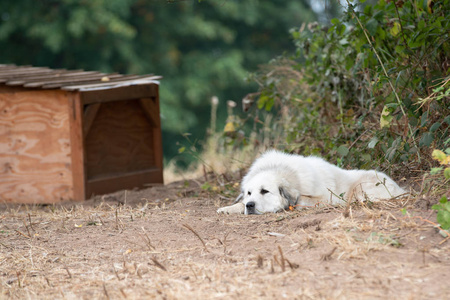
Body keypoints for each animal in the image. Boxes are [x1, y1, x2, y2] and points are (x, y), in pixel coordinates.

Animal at [216, 151, 406, 214]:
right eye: (249, 193)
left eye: (265, 191)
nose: (250, 205)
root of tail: (400, 189)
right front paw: (229, 208)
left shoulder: (324, 197)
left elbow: (301, 199)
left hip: (362, 188)